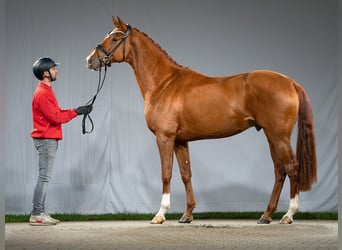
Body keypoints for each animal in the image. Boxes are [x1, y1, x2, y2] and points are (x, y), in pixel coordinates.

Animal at [85, 17, 316, 225]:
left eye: (114, 38)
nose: (89, 60)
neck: (164, 83)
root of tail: (290, 82)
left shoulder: (164, 138)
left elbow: (166, 174)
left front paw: (160, 214)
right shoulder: (180, 141)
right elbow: (186, 174)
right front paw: (187, 215)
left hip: (279, 136)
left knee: (292, 167)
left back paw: (288, 215)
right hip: (271, 136)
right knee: (280, 171)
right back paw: (266, 215)